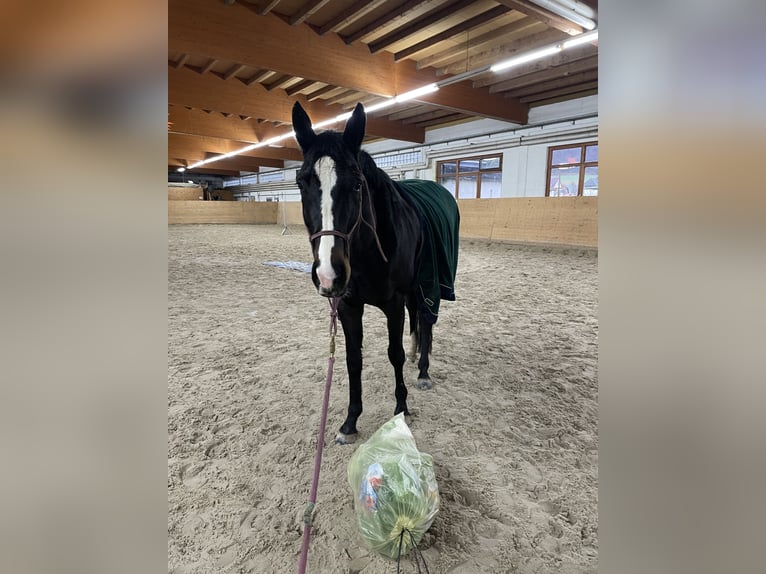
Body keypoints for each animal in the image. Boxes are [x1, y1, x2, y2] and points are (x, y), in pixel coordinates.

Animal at [292, 102, 462, 446]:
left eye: (357, 184)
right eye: (302, 183)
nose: (328, 274)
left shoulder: (393, 303)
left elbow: (394, 353)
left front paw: (401, 407)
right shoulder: (347, 306)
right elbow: (352, 360)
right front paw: (350, 422)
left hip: (428, 285)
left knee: (426, 321)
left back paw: (423, 371)